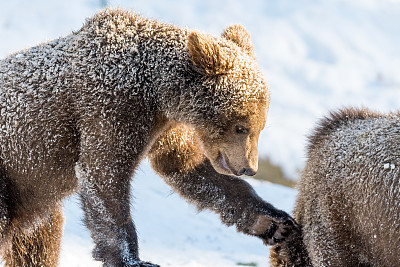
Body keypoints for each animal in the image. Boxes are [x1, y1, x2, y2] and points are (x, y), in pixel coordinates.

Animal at [0, 7, 296, 267]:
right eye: (240, 127)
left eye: (260, 126)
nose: (249, 168)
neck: (154, 90)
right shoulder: (109, 107)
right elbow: (104, 176)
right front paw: (132, 259)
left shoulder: (164, 128)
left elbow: (187, 168)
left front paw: (274, 222)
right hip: (9, 181)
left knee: (40, 241)